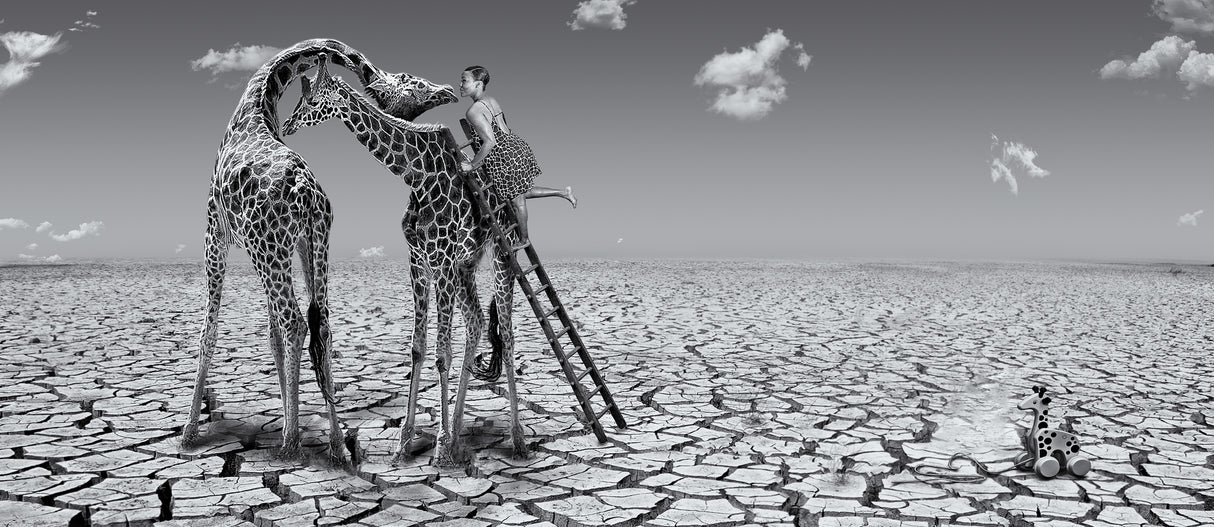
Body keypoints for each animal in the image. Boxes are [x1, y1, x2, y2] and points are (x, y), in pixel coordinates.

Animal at [185, 38, 458, 463]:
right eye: (412, 82)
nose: (448, 92)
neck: (256, 104)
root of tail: (305, 191)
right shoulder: (290, 245)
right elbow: (273, 337)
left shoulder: (215, 234)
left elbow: (209, 332)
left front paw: (188, 434)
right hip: (309, 244)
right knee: (320, 326)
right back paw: (335, 444)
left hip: (269, 251)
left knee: (295, 322)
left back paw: (291, 442)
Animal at [282, 59, 529, 462]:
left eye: (313, 98)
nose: (287, 126)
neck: (418, 176)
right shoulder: (419, 260)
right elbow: (417, 348)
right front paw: (406, 442)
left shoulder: (441, 259)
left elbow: (442, 353)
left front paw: (440, 449)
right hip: (467, 264)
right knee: (477, 322)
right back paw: (458, 431)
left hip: (502, 254)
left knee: (505, 335)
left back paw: (517, 440)